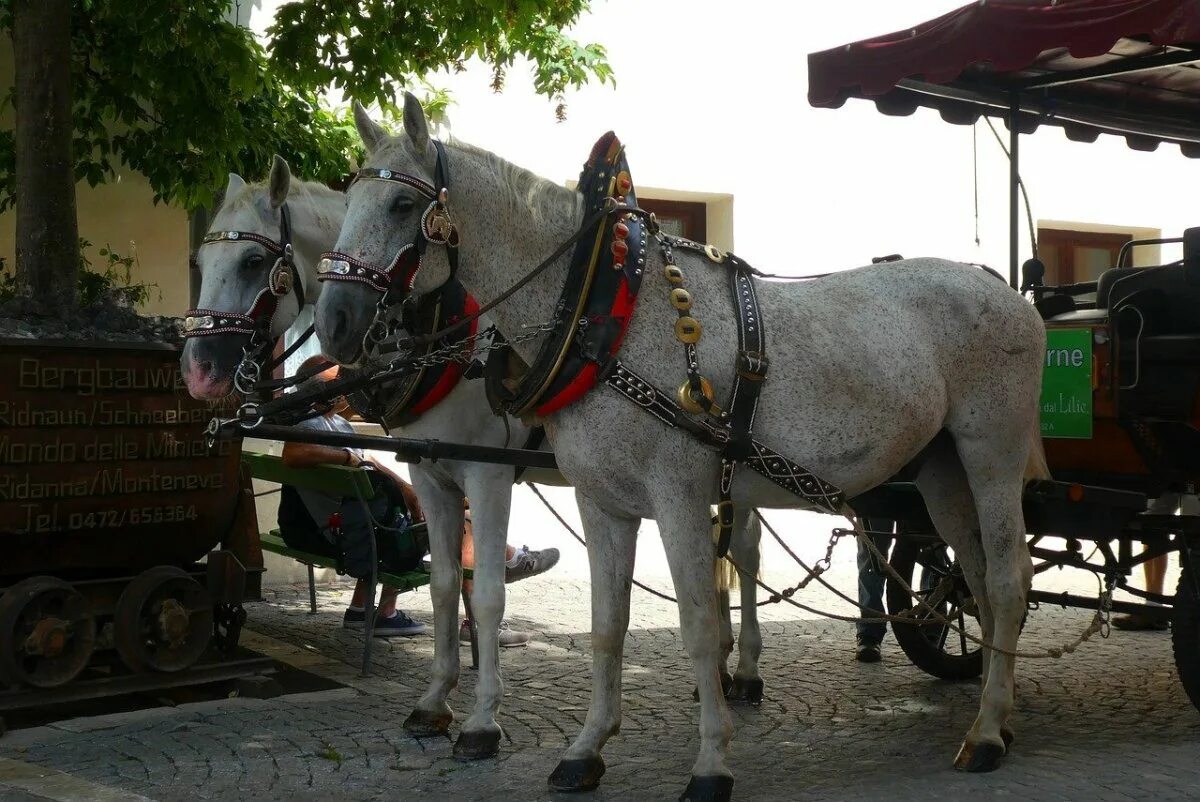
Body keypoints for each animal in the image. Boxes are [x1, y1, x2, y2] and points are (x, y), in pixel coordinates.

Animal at [178, 154, 763, 758]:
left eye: (252, 261)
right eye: (200, 260)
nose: (198, 370)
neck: (446, 339)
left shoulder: (486, 474)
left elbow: (485, 594)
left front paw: (483, 719)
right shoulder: (428, 471)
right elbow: (442, 586)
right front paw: (435, 701)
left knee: (744, 549)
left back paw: (743, 671)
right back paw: (720, 668)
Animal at [316, 95, 1051, 802]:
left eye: (402, 205)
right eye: (346, 202)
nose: (334, 323)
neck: (602, 312)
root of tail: (1005, 290)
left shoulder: (670, 497)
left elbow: (695, 624)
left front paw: (710, 762)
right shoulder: (600, 503)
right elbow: (606, 624)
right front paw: (586, 748)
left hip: (991, 455)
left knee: (1008, 580)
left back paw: (986, 733)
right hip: (941, 472)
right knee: (975, 579)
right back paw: (1000, 712)